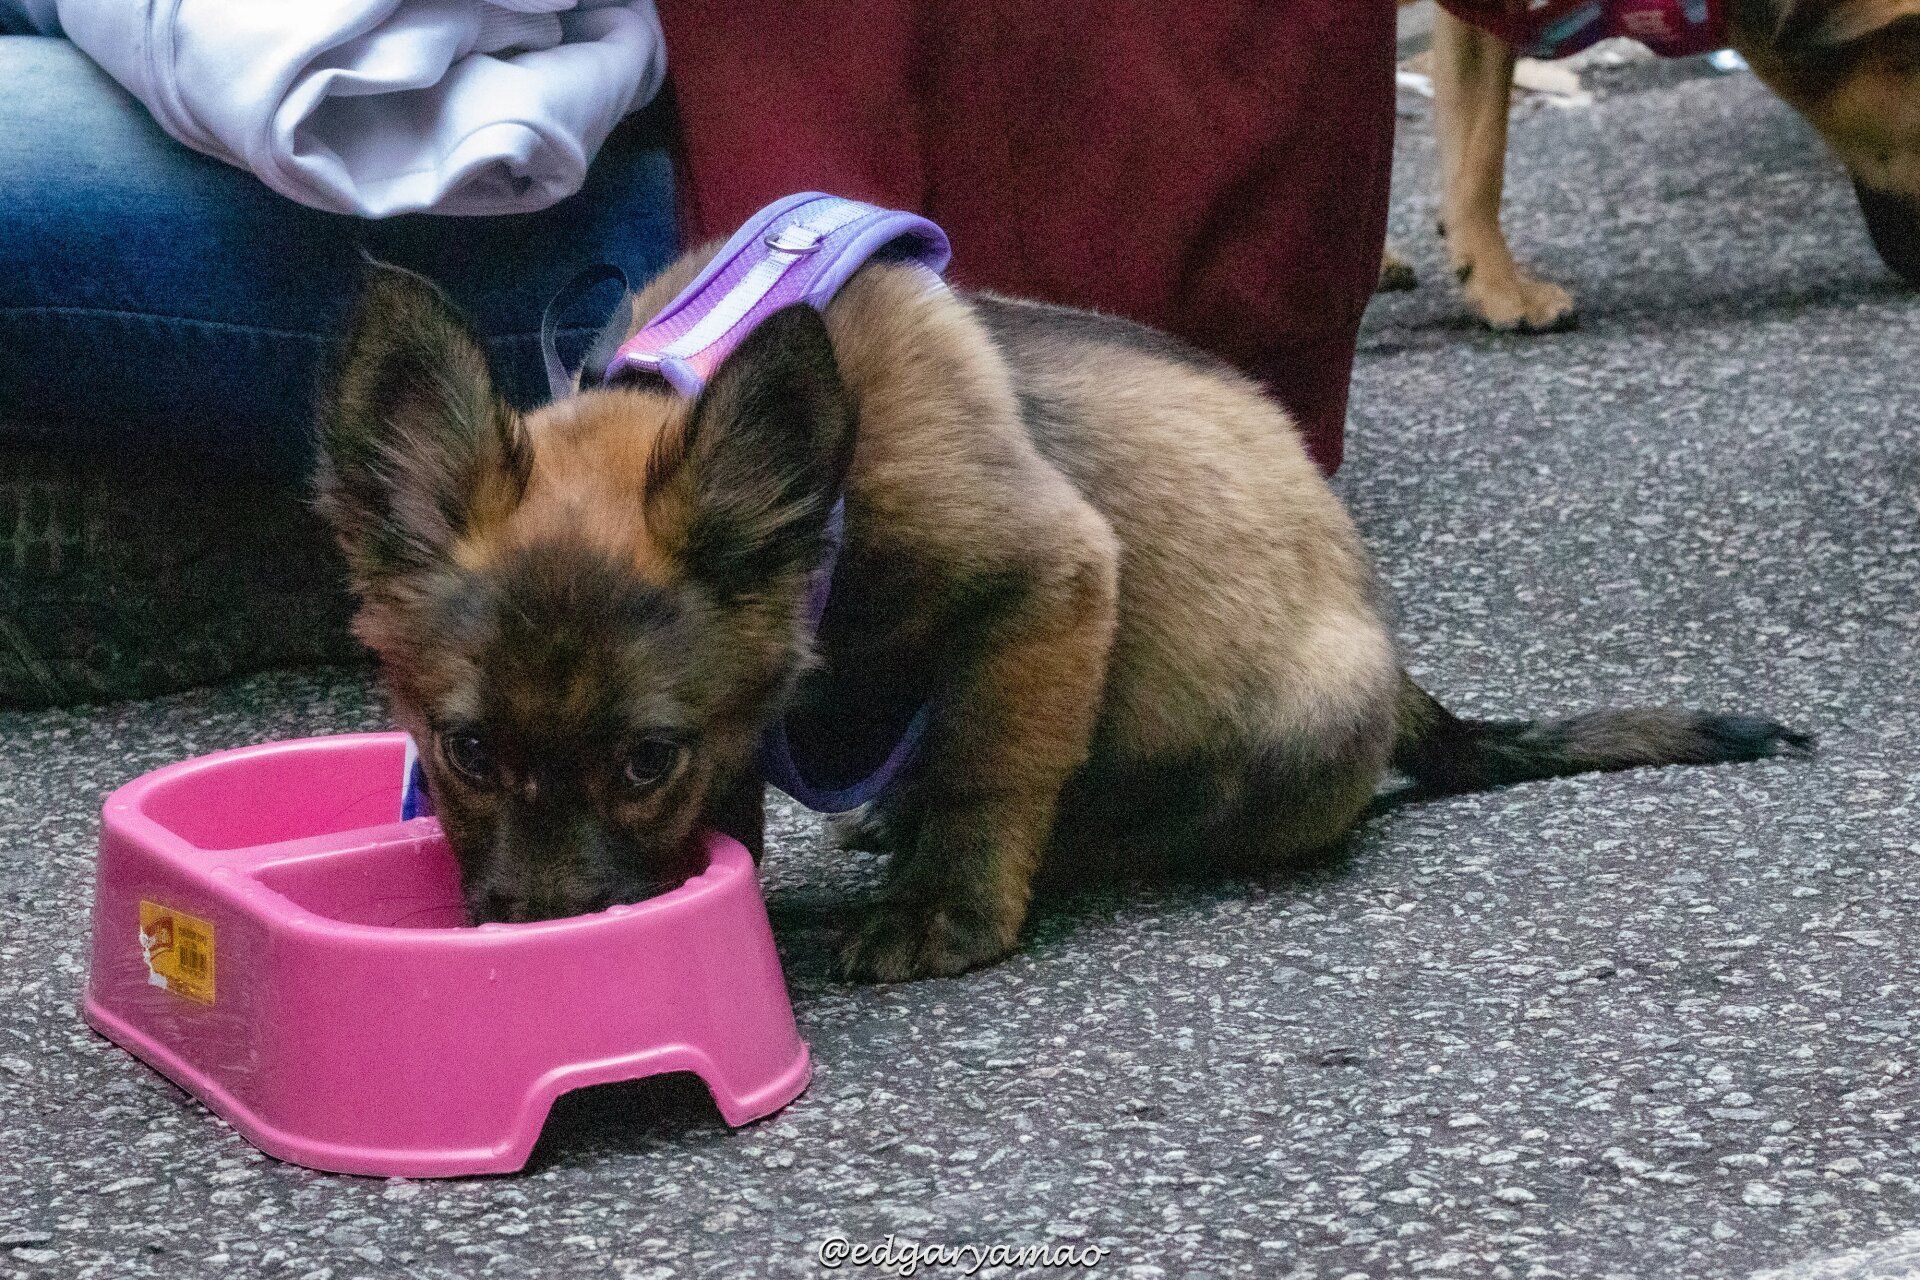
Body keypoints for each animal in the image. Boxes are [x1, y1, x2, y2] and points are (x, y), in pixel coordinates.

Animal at [314, 253, 1810, 983]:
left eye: (642, 760)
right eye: (465, 753)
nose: (533, 935)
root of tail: (1401, 673)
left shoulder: (1051, 578)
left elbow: (994, 765)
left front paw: (947, 912)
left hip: (1292, 737)